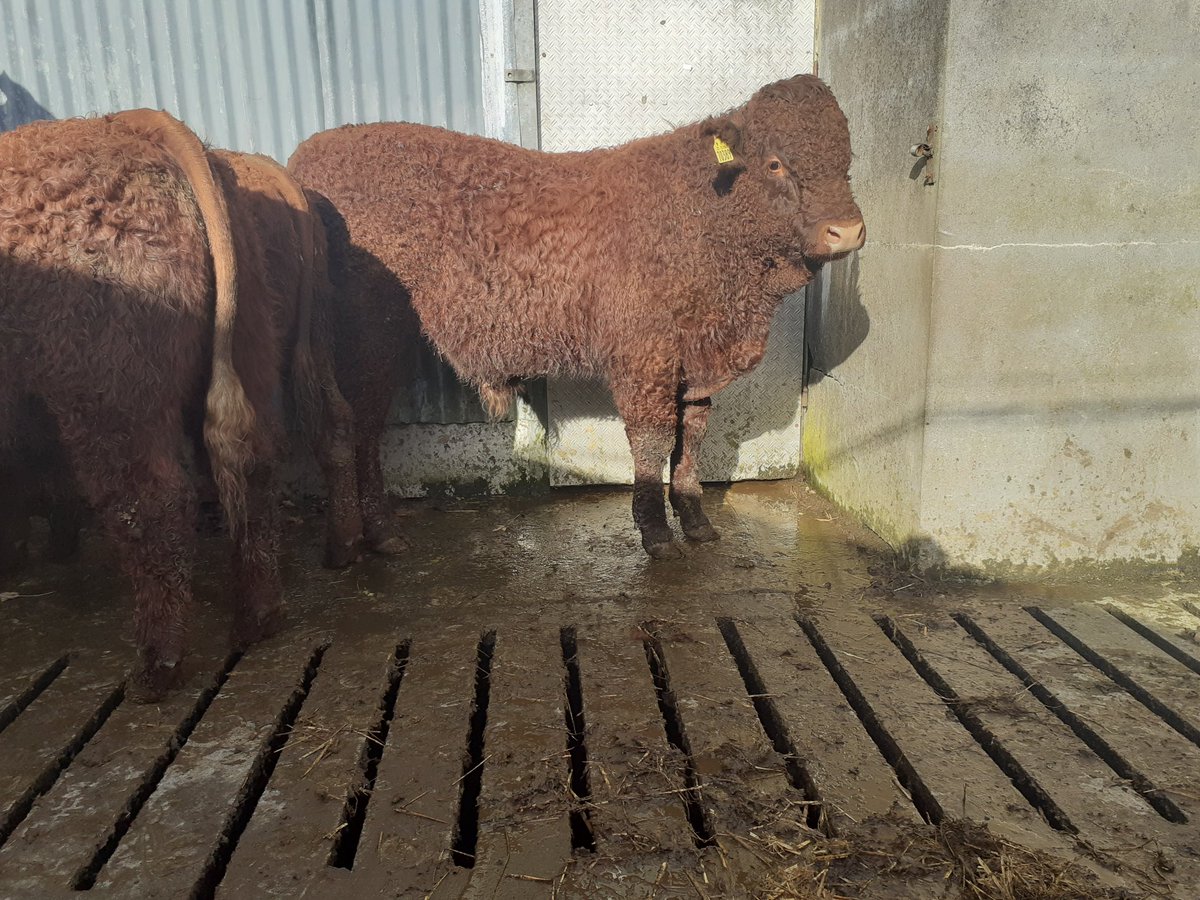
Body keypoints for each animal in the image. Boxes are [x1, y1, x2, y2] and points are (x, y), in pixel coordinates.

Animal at [0, 110, 358, 697]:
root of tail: (142, 128)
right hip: (264, 346)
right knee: (277, 449)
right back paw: (273, 603)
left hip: (107, 394)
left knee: (151, 502)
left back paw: (157, 667)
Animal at [289, 74, 864, 559]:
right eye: (775, 162)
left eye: (848, 157)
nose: (848, 231)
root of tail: (309, 155)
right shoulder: (643, 358)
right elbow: (653, 440)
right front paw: (656, 535)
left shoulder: (697, 363)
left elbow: (693, 434)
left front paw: (696, 521)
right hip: (369, 335)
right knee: (358, 425)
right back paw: (368, 537)